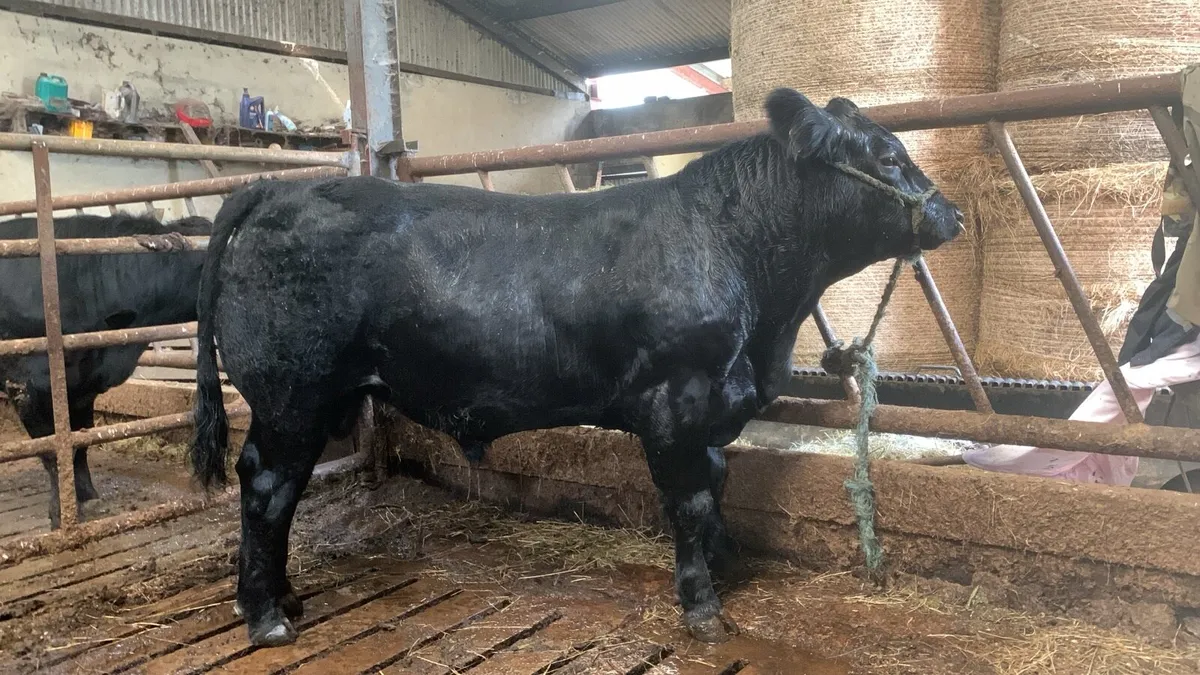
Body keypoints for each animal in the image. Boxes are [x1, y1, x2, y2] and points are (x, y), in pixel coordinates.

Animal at [1, 212, 212, 527]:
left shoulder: (81, 388)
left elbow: (79, 442)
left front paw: (87, 496)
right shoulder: (29, 388)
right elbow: (53, 450)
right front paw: (62, 513)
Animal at [189, 88, 964, 647]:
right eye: (888, 156)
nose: (951, 214)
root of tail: (275, 189)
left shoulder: (716, 403)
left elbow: (716, 481)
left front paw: (724, 564)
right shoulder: (674, 401)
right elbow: (687, 498)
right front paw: (702, 605)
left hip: (314, 400)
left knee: (280, 490)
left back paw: (284, 595)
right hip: (292, 392)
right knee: (266, 485)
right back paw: (266, 615)